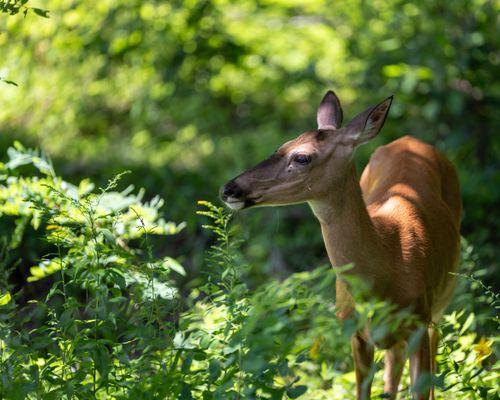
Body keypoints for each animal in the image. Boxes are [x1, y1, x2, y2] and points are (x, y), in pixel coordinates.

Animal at [221, 91, 462, 400]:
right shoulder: (355, 332)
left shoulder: (419, 322)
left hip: (442, 299)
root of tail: (410, 139)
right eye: (282, 145)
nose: (229, 188)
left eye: (302, 157)